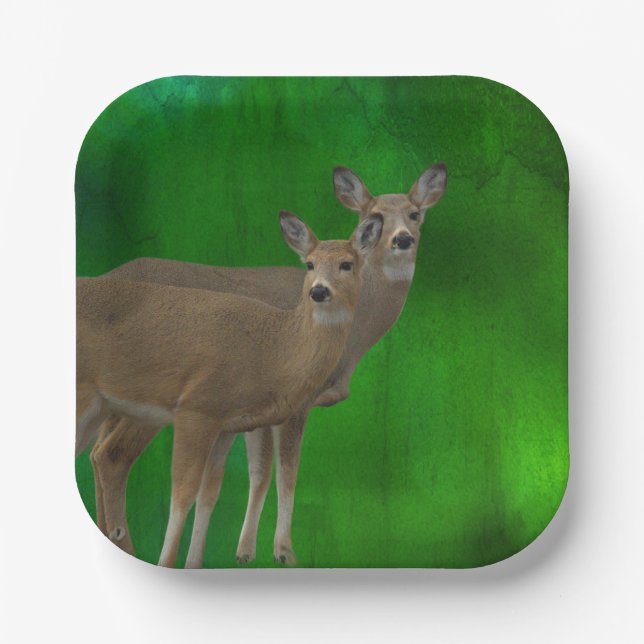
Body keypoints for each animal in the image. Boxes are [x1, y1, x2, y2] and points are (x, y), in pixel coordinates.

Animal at [85, 164, 448, 566]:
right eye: (376, 214)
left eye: (415, 213)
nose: (402, 239)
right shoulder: (290, 399)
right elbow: (286, 469)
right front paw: (284, 551)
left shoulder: (254, 408)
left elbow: (257, 471)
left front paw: (245, 550)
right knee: (112, 456)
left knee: (96, 452)